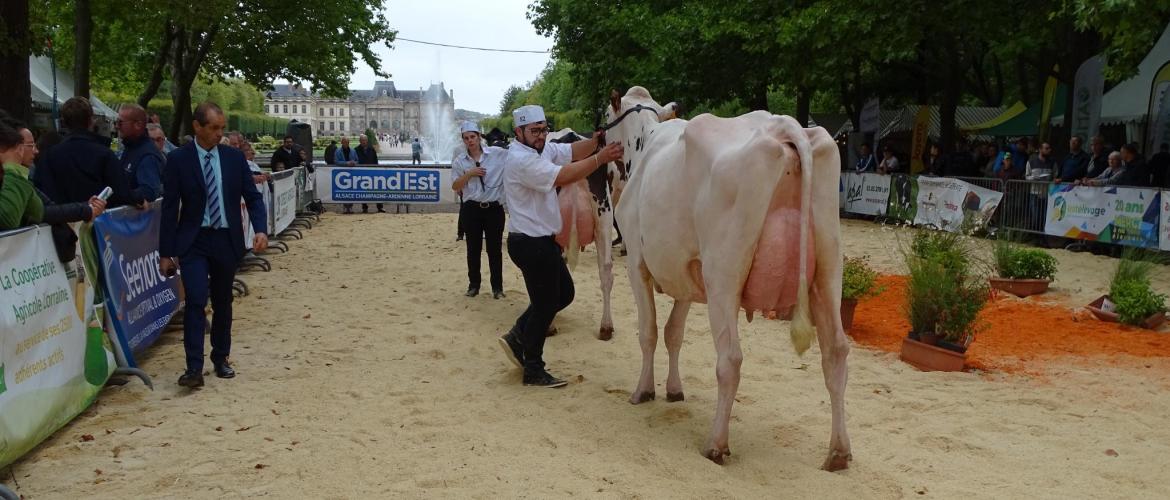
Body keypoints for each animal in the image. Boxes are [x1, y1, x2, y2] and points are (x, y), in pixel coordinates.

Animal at [613, 87, 851, 470]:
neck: (648, 139)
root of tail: (782, 125)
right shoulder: (687, 276)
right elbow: (674, 333)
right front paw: (674, 390)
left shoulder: (637, 261)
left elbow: (649, 332)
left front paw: (643, 391)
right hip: (828, 271)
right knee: (836, 352)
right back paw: (839, 452)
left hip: (723, 275)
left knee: (731, 359)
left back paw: (716, 444)